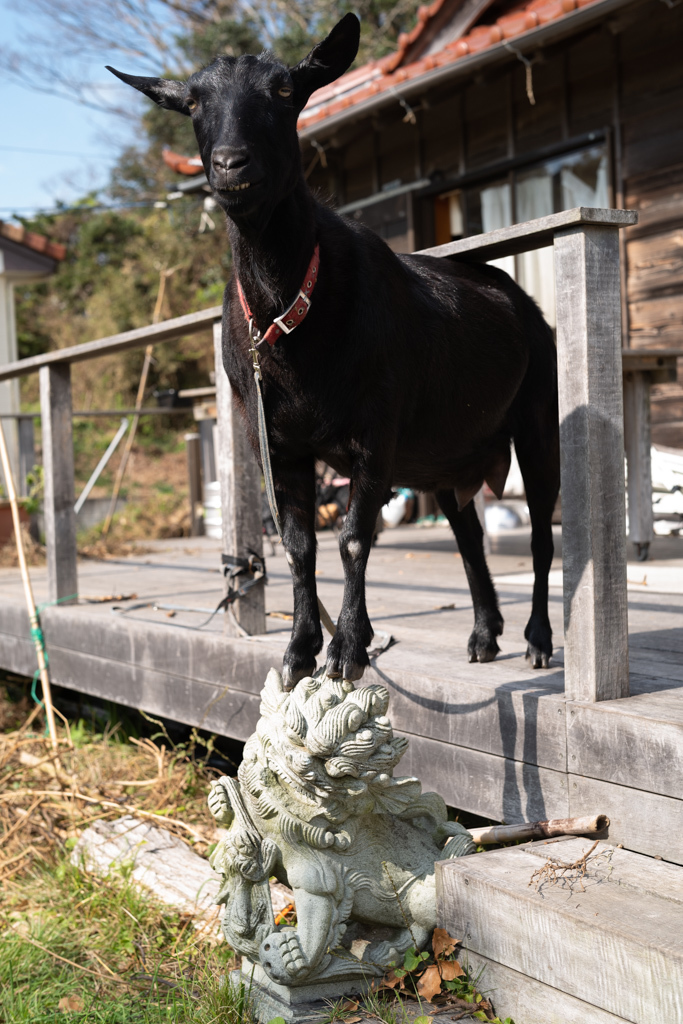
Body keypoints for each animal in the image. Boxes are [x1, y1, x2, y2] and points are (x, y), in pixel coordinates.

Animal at [108, 12, 561, 688]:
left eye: (283, 91)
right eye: (192, 103)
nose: (230, 164)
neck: (289, 312)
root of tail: (521, 301)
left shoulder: (376, 431)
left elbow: (352, 538)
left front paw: (348, 647)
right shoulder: (276, 443)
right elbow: (300, 546)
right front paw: (299, 649)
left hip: (534, 417)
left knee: (541, 534)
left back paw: (536, 638)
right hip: (447, 458)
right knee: (469, 537)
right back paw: (484, 633)